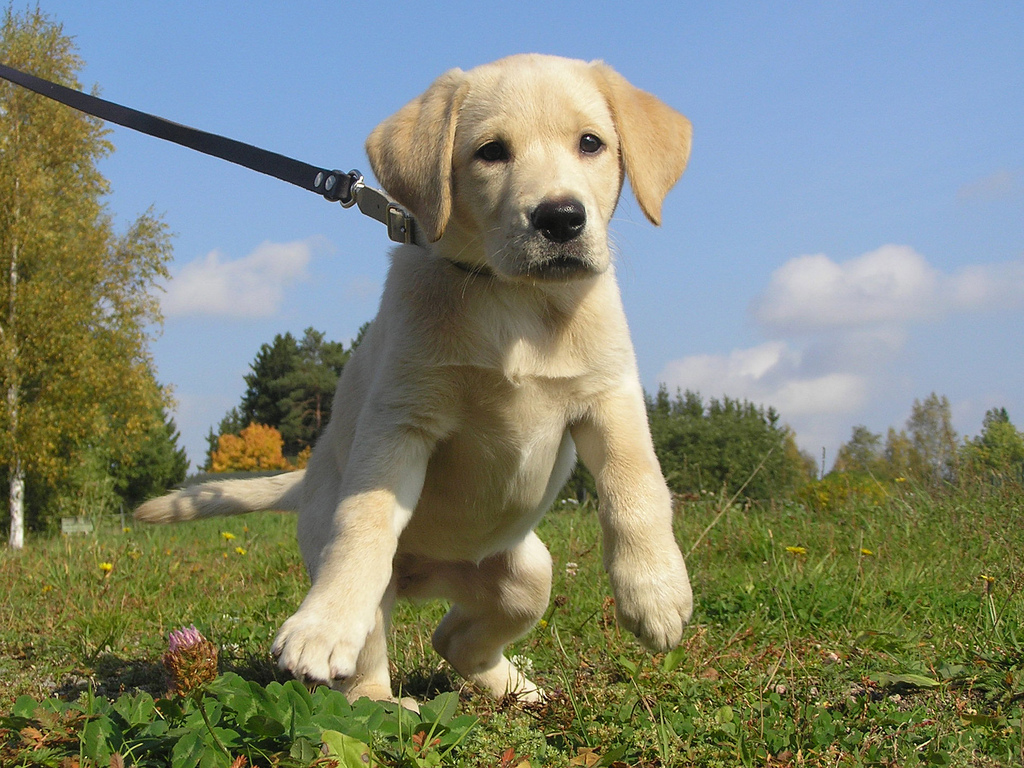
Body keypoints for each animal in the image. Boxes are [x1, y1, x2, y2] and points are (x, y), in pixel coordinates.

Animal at [136, 52, 692, 704]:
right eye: (491, 152)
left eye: (591, 143)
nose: (560, 218)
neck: (512, 299)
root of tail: (433, 574)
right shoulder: (401, 420)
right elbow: (365, 522)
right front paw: (320, 625)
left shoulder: (609, 395)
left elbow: (637, 486)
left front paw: (655, 590)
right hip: (365, 572)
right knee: (367, 659)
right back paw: (379, 695)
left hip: (526, 574)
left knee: (453, 640)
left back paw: (516, 689)